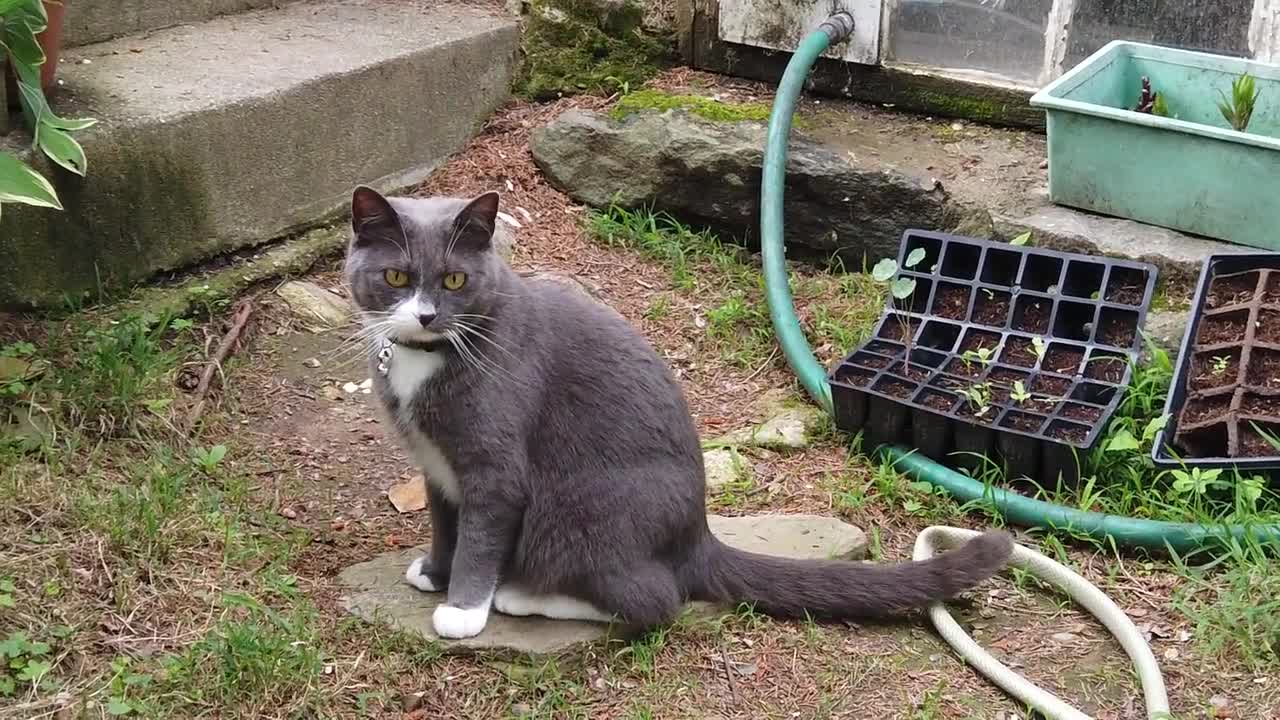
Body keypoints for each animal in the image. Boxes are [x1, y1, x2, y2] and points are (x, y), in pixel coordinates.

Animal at [345, 185, 1013, 638]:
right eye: (396, 277)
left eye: (456, 280)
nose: (426, 314)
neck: (426, 359)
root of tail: (697, 537)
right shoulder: (438, 469)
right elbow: (446, 524)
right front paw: (434, 572)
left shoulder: (494, 469)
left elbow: (480, 538)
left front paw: (461, 610)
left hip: (579, 508)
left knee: (655, 599)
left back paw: (524, 596)